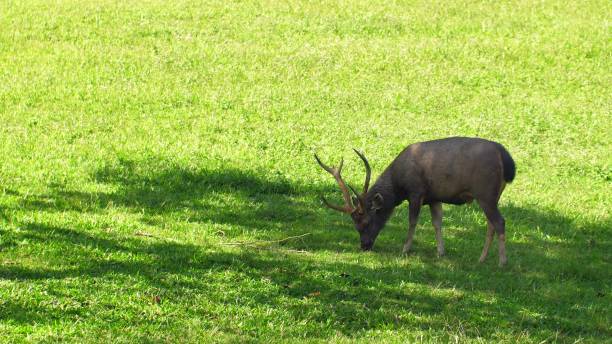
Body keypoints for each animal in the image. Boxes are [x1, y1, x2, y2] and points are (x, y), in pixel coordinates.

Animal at [316, 136, 516, 266]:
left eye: (366, 222)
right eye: (355, 226)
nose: (364, 246)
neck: (398, 186)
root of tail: (507, 161)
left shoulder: (416, 192)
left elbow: (412, 221)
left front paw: (405, 249)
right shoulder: (434, 197)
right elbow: (437, 223)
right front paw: (441, 252)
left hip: (485, 192)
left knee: (500, 222)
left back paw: (502, 261)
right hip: (493, 195)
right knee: (491, 224)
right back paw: (482, 258)